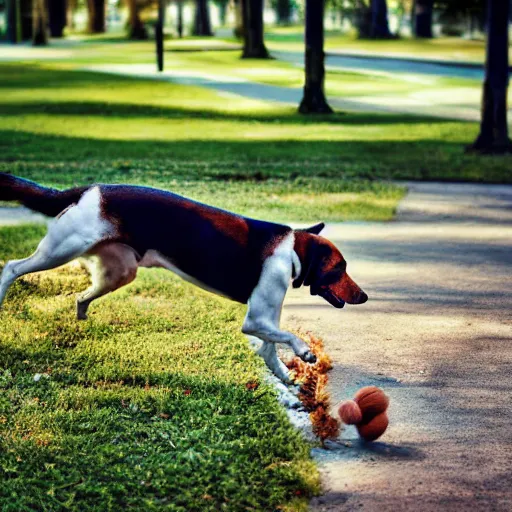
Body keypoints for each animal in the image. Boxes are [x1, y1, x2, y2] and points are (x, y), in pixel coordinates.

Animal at [0, 174, 368, 382]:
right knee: (12, 267)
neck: (291, 251)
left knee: (81, 296)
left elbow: (270, 349)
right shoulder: (254, 321)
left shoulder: (265, 320)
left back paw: (81, 315)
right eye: (340, 268)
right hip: (61, 249)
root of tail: (87, 190)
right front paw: (305, 353)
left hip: (119, 272)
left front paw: (285, 375)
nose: (364, 297)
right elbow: (288, 338)